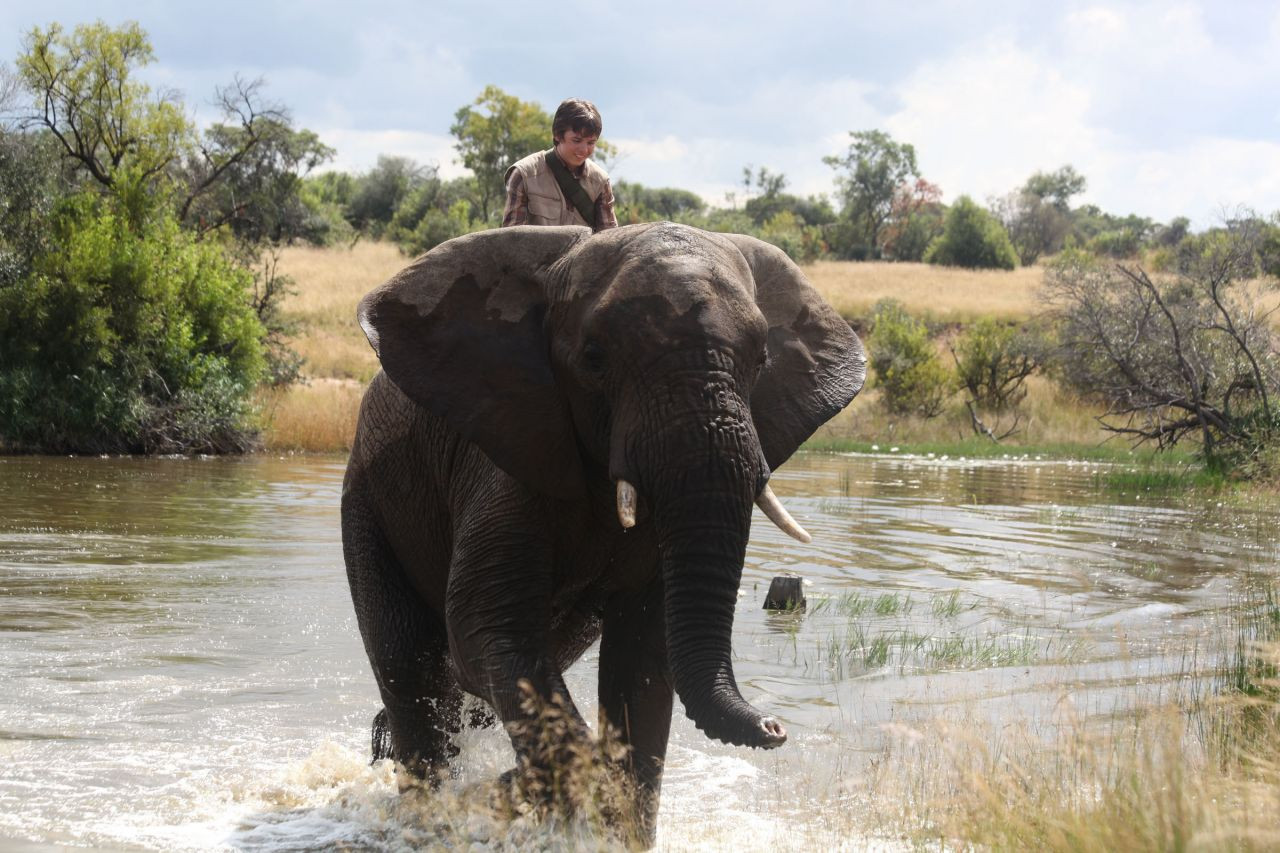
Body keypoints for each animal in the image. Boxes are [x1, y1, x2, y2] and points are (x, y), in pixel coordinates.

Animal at [340, 217, 865, 835]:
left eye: (762, 360)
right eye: (594, 358)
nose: (776, 727)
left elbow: (641, 655)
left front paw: (602, 815)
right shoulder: (503, 453)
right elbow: (484, 626)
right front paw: (541, 794)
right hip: (367, 499)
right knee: (412, 668)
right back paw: (429, 811)